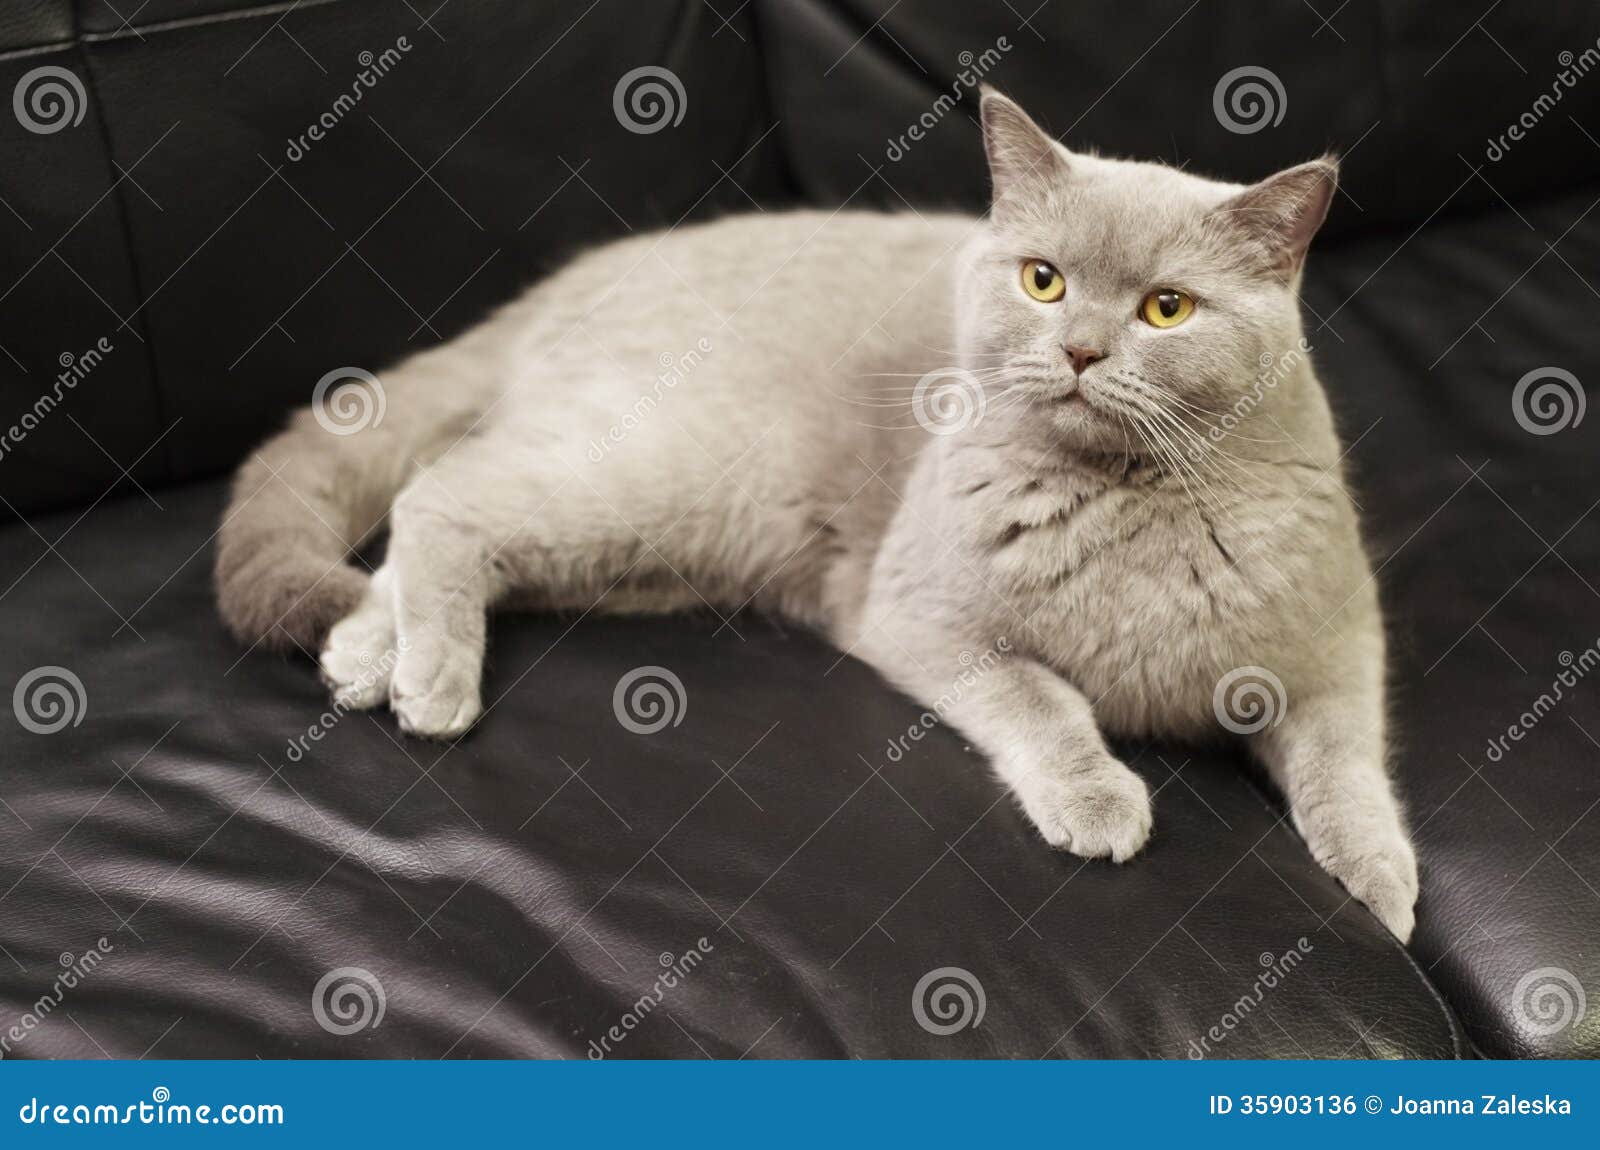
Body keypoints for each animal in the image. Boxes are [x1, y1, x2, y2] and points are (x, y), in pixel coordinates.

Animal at [216, 92, 1427, 946]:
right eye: (1041, 281)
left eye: (1166, 308)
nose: (1082, 350)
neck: (1126, 499)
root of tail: (582, 274)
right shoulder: (922, 617)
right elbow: (1040, 700)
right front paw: (1099, 803)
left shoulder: (1335, 647)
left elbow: (1345, 762)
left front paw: (1381, 884)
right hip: (673, 471)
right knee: (445, 488)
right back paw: (425, 680)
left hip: (654, 546)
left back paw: (364, 650)